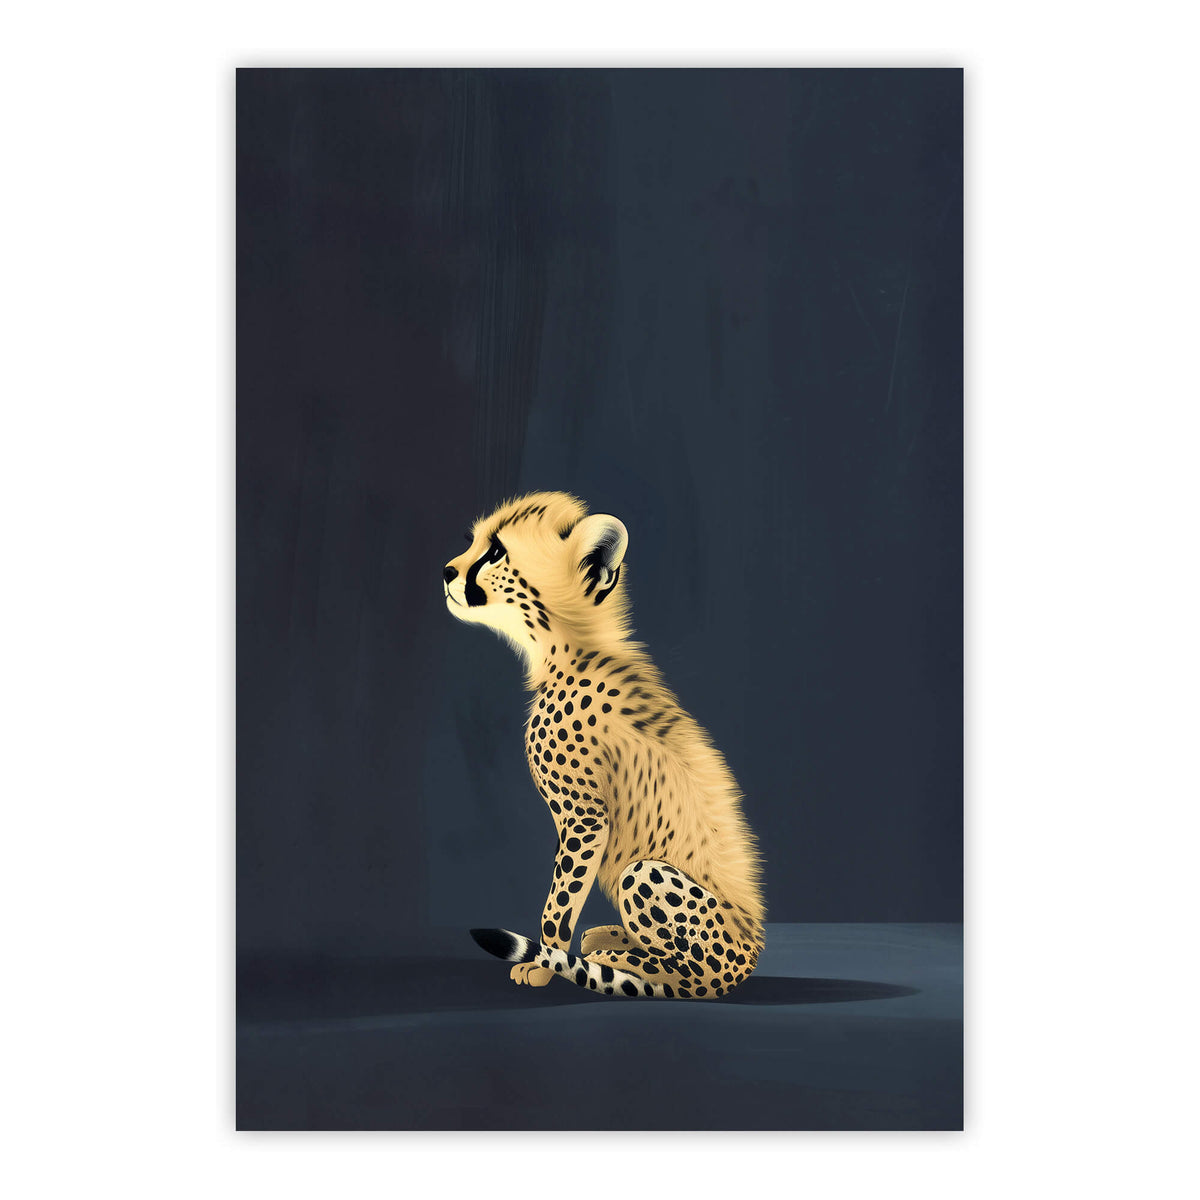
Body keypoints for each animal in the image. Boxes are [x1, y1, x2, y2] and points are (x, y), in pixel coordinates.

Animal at [443, 491, 764, 999]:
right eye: (474, 541)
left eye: (495, 552)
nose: (445, 571)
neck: (569, 648)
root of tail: (749, 956)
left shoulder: (585, 817)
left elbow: (560, 901)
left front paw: (545, 965)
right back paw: (611, 939)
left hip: (648, 876)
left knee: (691, 976)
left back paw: (615, 958)